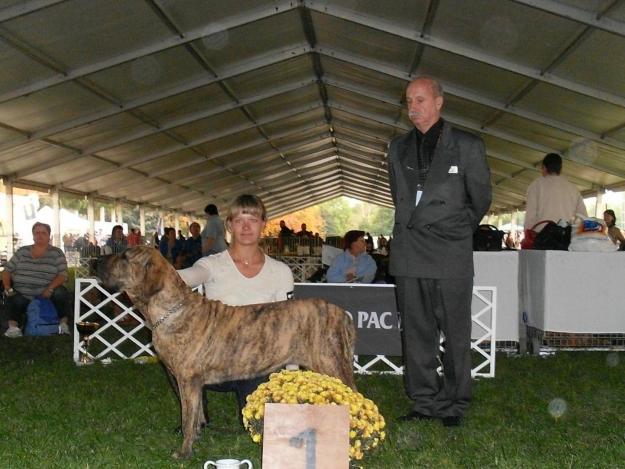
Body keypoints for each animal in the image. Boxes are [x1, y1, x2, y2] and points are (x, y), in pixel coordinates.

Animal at [94, 245, 354, 458]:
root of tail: (341, 313)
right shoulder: (191, 383)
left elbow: (187, 417)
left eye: (125, 256)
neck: (169, 310)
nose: (96, 259)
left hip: (332, 365)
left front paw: (184, 452)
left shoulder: (187, 380)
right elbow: (196, 414)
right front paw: (197, 437)